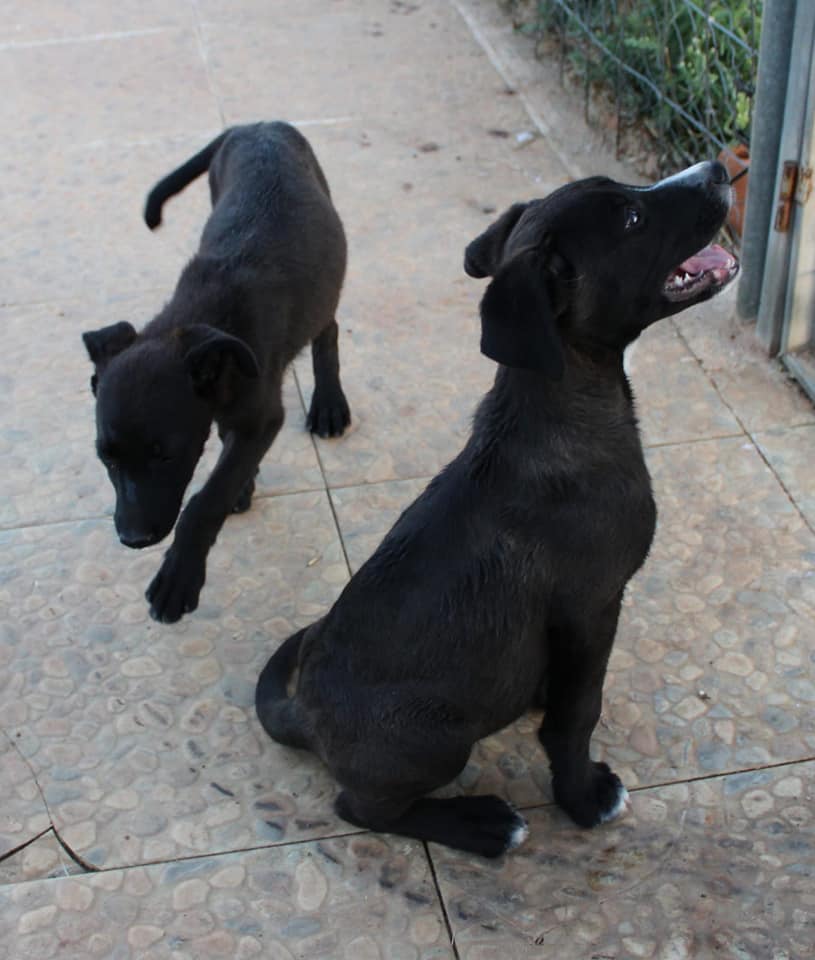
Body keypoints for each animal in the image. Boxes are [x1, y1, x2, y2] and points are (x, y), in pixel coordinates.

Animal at [83, 122, 350, 623]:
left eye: (165, 455)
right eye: (106, 457)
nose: (133, 539)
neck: (202, 320)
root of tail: (258, 125)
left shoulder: (262, 417)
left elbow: (205, 499)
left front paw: (178, 578)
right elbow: (226, 462)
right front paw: (241, 482)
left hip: (325, 288)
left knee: (327, 333)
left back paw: (329, 404)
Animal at [256, 161, 738, 858]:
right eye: (633, 219)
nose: (720, 169)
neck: (564, 401)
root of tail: (303, 717)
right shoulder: (593, 604)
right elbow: (578, 714)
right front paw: (583, 797)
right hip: (436, 737)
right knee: (363, 808)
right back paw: (481, 824)